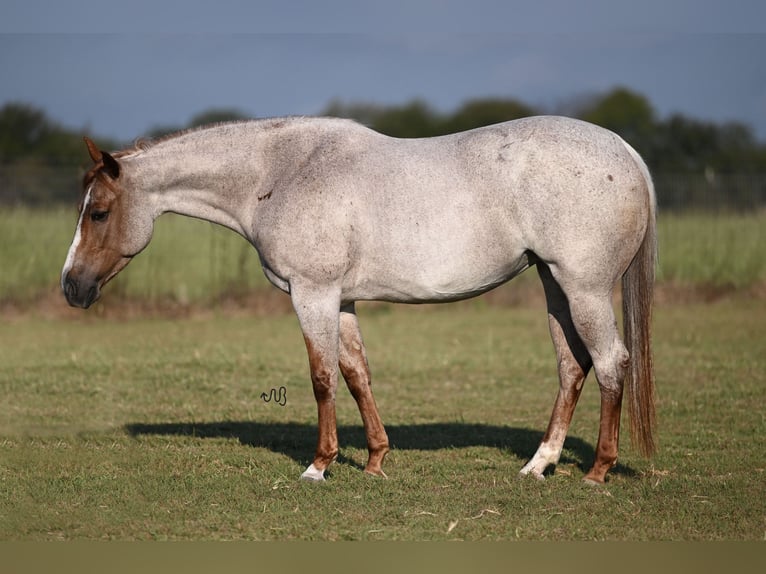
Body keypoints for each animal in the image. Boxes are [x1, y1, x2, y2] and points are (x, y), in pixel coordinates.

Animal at [61, 117, 660, 486]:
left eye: (99, 212)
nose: (71, 287)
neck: (280, 171)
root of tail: (627, 151)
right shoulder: (341, 301)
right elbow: (356, 374)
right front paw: (374, 460)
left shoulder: (313, 294)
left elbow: (322, 377)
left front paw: (319, 466)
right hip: (555, 286)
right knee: (572, 366)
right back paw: (539, 464)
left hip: (583, 289)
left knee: (611, 363)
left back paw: (597, 471)